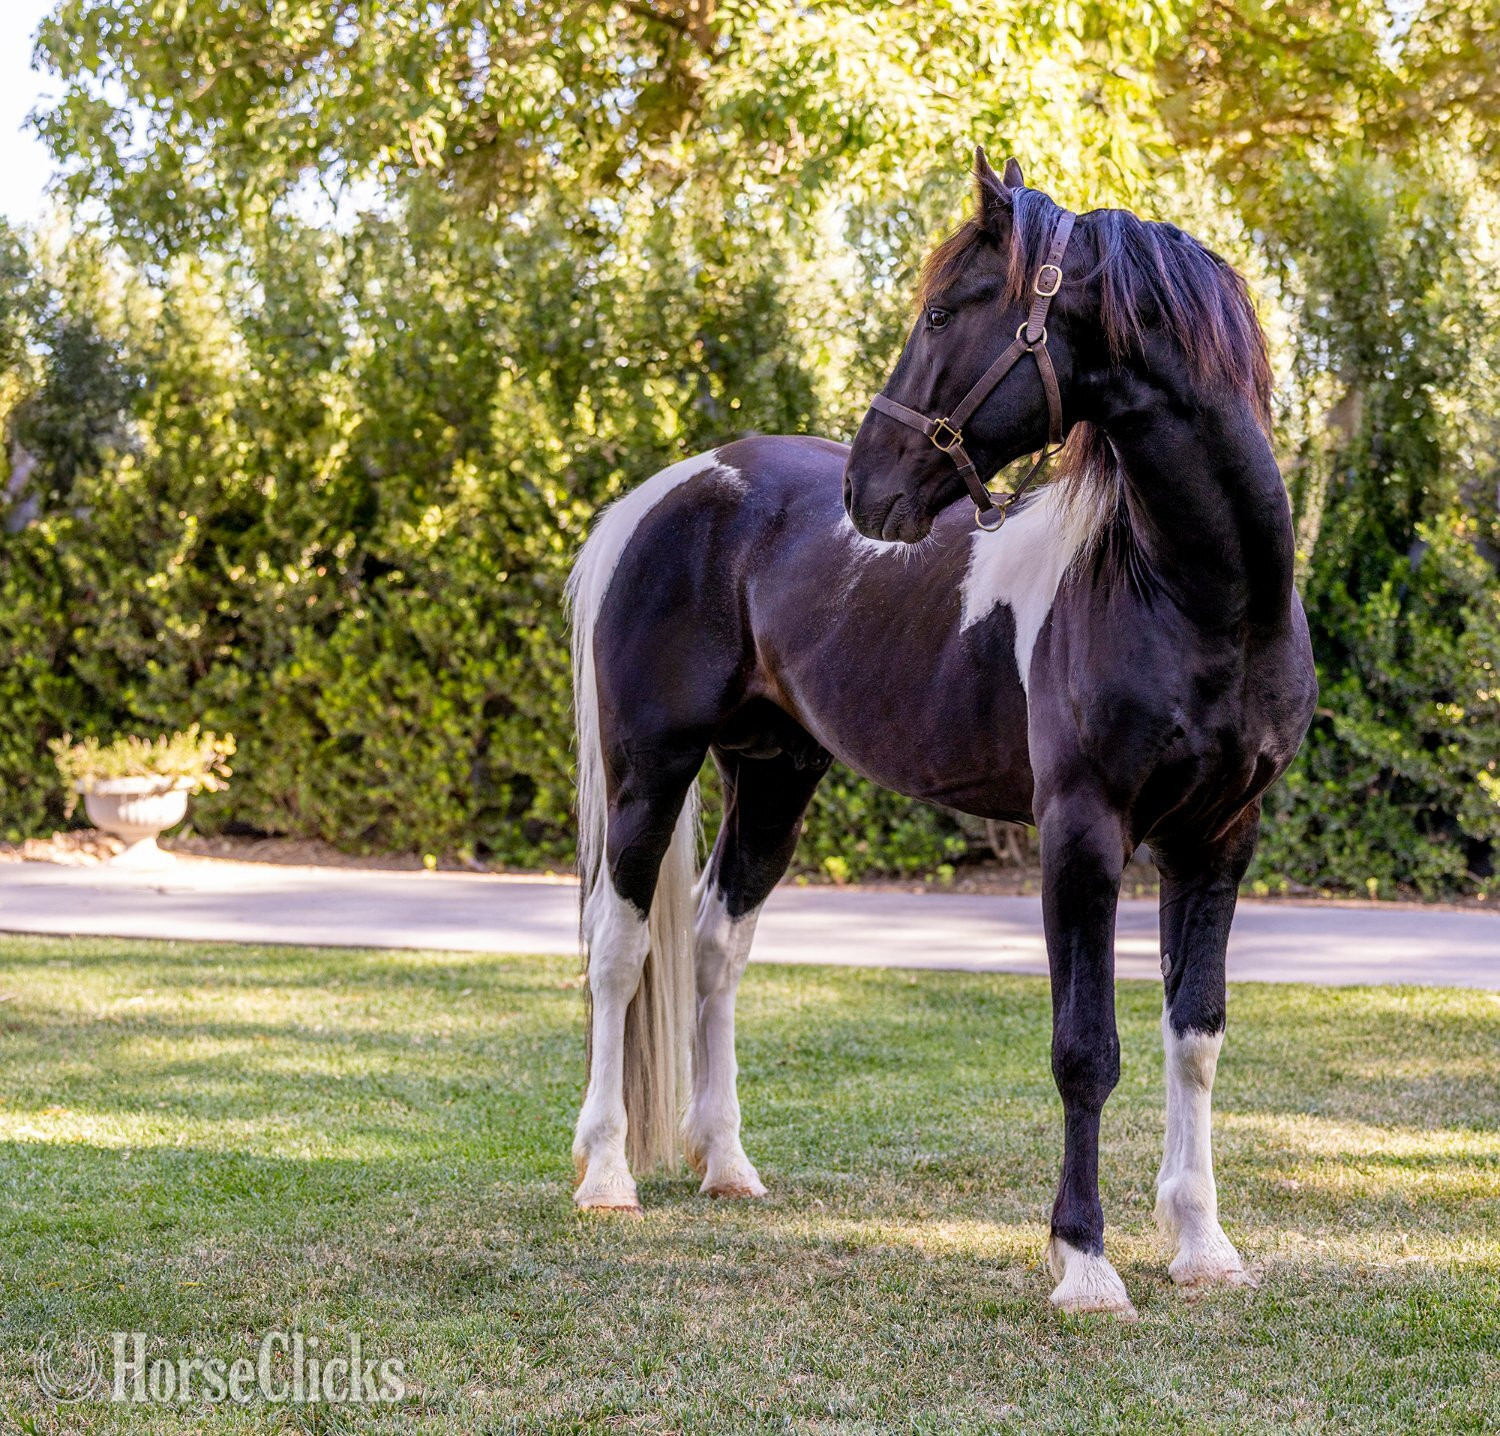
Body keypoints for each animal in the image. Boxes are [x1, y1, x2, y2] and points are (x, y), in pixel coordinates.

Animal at [565, 149, 1317, 1317]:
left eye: (947, 310)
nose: (865, 486)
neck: (1201, 596)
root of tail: (665, 491)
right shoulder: (1083, 834)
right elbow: (1085, 1049)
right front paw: (1084, 1261)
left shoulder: (1219, 838)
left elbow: (1194, 1038)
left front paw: (1201, 1243)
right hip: (652, 770)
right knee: (621, 949)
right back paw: (607, 1174)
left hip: (773, 778)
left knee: (717, 945)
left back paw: (726, 1163)